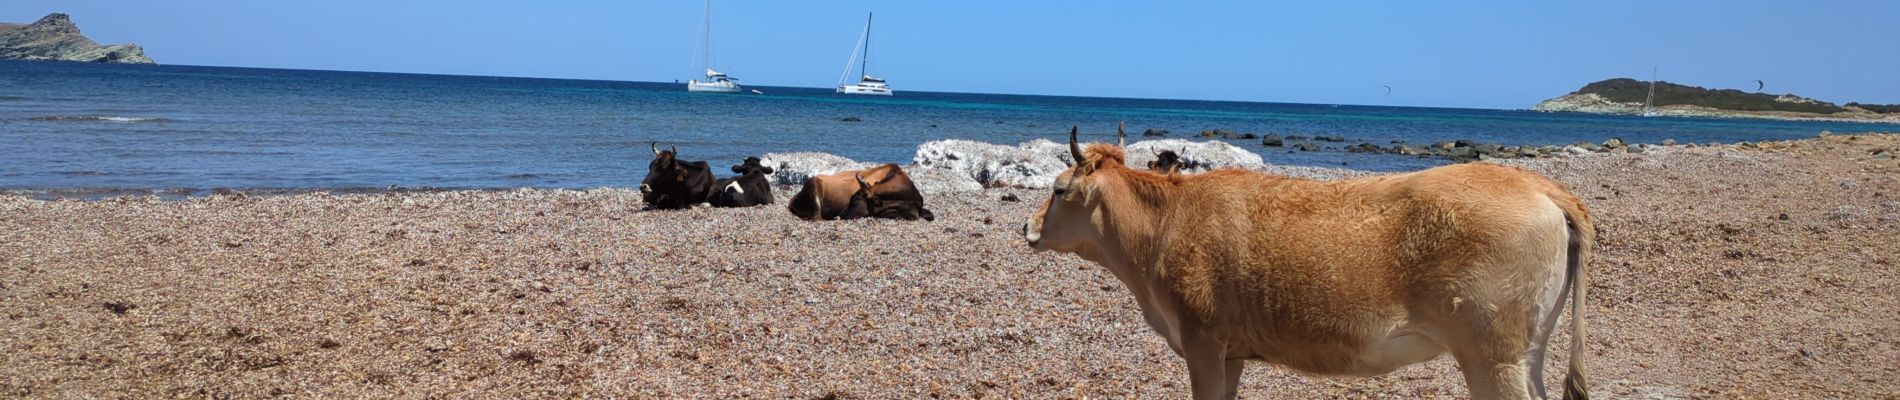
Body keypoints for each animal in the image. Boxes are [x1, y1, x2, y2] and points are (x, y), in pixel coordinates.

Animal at [1026, 127, 1588, 398]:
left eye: (1057, 190)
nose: (1028, 227)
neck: (1163, 224)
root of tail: (1542, 186)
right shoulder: (1230, 351)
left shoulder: (1203, 339)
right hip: (1527, 350)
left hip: (1491, 354)